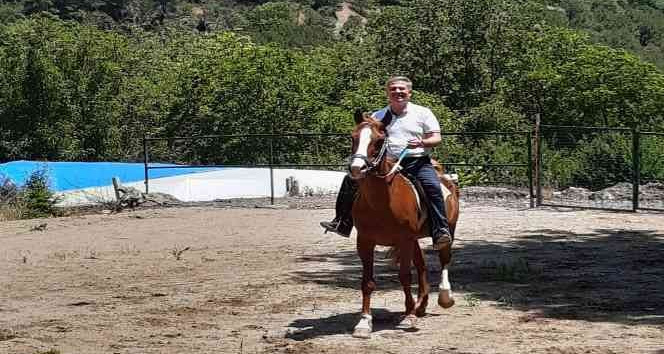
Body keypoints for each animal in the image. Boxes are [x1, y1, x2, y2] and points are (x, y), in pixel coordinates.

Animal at [348, 112, 456, 338]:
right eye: (353, 137)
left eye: (379, 140)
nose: (356, 169)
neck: (382, 201)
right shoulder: (365, 241)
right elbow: (367, 282)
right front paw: (364, 322)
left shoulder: (404, 240)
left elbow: (405, 276)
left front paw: (409, 315)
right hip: (414, 239)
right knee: (422, 266)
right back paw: (421, 305)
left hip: (447, 231)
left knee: (444, 259)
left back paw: (444, 297)